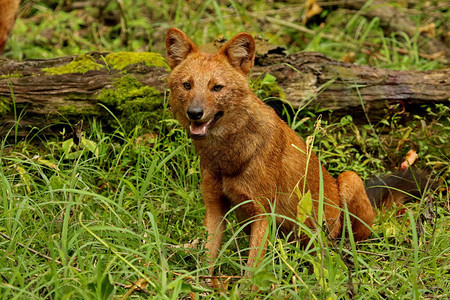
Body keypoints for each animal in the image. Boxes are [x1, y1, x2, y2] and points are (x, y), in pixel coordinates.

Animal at [167, 28, 428, 274]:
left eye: (217, 87)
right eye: (187, 85)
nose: (195, 113)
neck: (226, 157)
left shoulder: (263, 212)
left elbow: (252, 271)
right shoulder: (214, 207)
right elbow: (206, 260)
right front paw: (202, 285)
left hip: (349, 180)